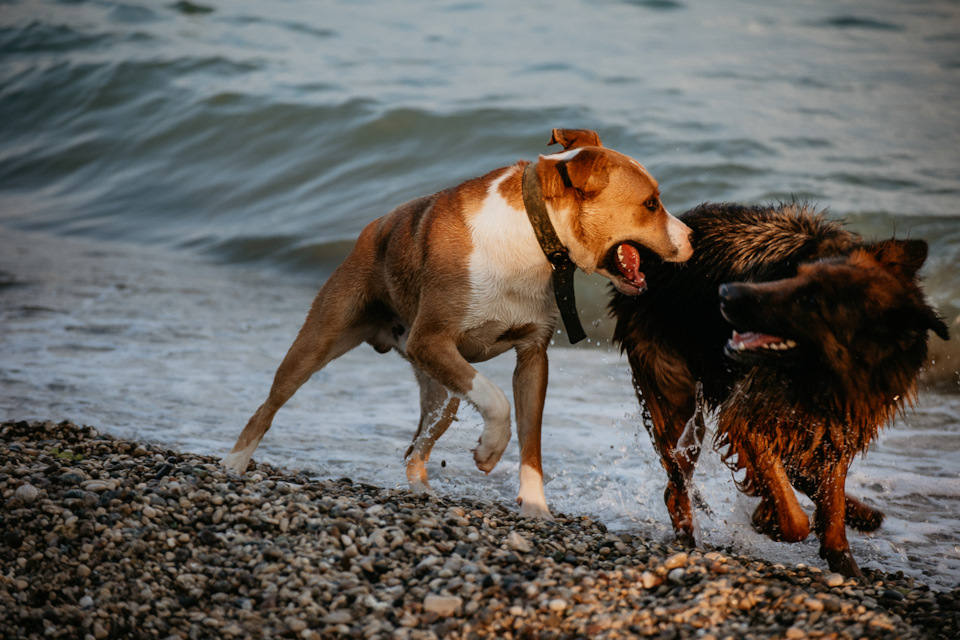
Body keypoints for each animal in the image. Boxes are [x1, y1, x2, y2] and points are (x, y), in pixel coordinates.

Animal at [224, 127, 688, 516]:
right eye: (651, 203)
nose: (691, 237)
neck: (531, 238)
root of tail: (372, 229)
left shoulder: (532, 355)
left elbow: (531, 440)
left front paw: (535, 507)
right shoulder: (431, 341)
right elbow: (497, 401)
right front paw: (488, 450)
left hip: (442, 395)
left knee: (415, 450)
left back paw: (424, 493)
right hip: (323, 339)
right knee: (268, 406)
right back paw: (234, 463)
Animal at [612, 202, 948, 576]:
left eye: (811, 301)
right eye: (793, 278)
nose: (726, 294)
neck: (824, 374)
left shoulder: (842, 422)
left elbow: (830, 497)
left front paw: (841, 557)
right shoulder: (747, 419)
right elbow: (792, 515)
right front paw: (770, 519)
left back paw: (860, 513)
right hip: (677, 404)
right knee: (676, 488)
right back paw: (690, 537)